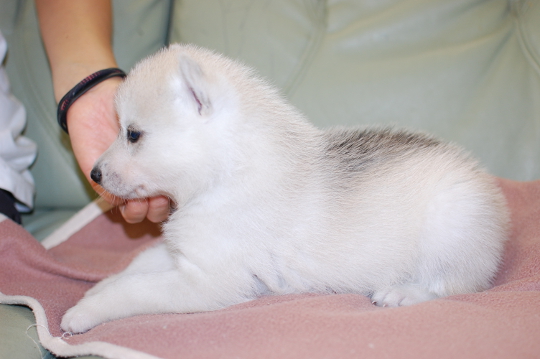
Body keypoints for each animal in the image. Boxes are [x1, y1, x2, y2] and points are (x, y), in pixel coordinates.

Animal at [61, 44, 508, 334]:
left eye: (133, 134)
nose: (94, 174)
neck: (227, 173)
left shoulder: (210, 281)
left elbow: (136, 288)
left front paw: (85, 311)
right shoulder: (182, 253)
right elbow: (136, 265)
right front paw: (98, 286)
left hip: (451, 226)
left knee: (450, 285)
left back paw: (401, 293)